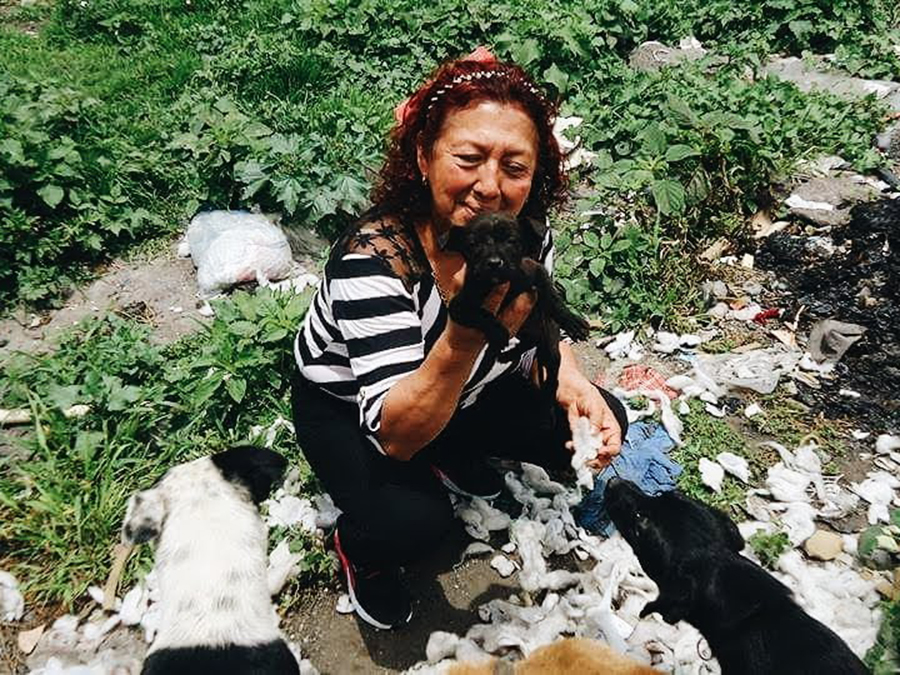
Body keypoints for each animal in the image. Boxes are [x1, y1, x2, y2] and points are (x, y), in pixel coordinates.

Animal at [442, 211, 592, 412]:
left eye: (511, 241)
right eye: (473, 244)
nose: (494, 263)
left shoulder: (535, 270)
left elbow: (551, 297)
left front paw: (571, 321)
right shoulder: (458, 306)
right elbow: (480, 315)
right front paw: (498, 331)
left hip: (550, 347)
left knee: (552, 379)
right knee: (529, 342)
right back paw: (509, 354)